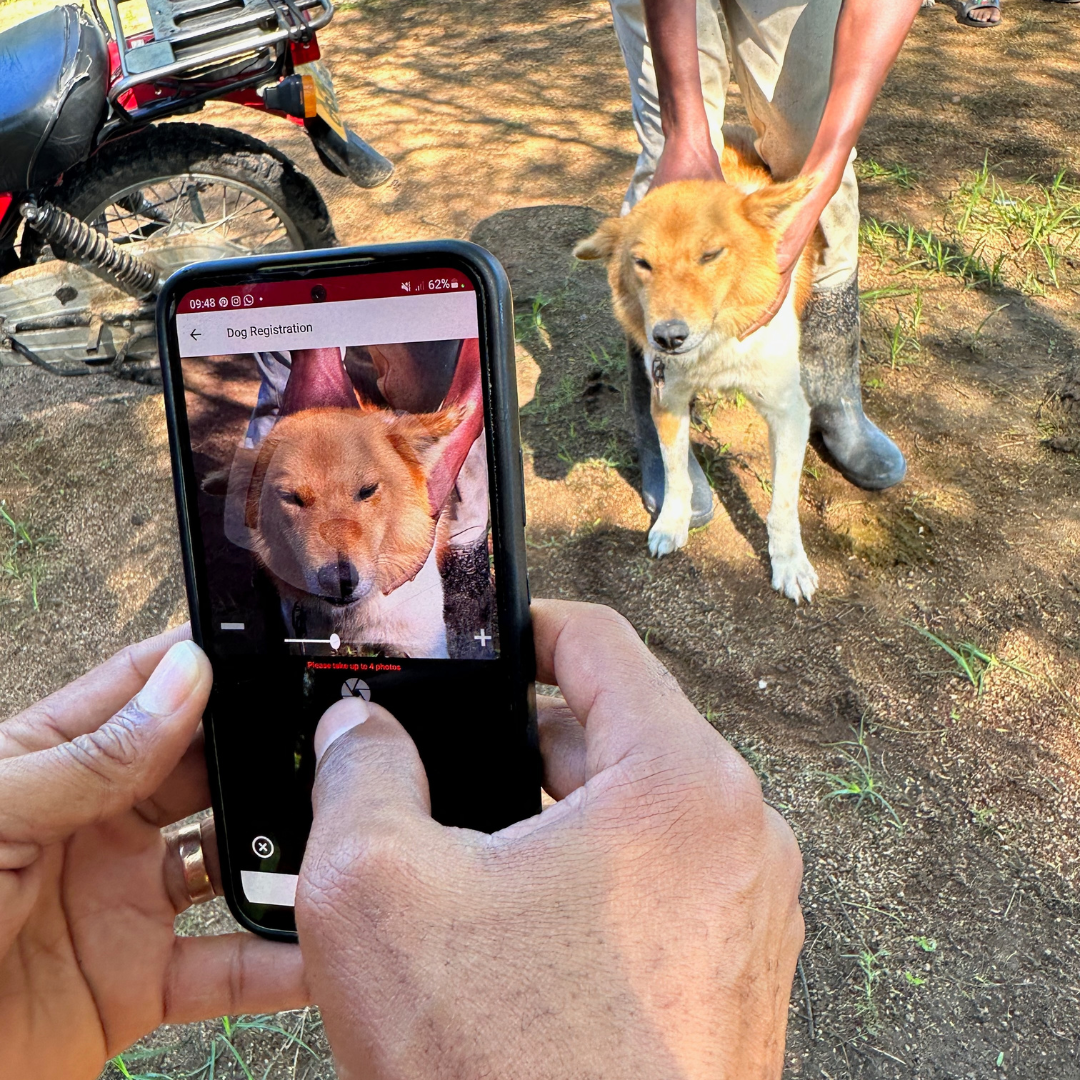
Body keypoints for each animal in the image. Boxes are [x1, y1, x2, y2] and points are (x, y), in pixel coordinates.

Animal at [583, 139, 816, 604]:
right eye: (642, 263)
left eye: (710, 255)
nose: (667, 338)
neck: (715, 348)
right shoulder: (667, 400)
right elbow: (675, 475)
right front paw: (671, 524)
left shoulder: (789, 413)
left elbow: (783, 503)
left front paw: (789, 563)